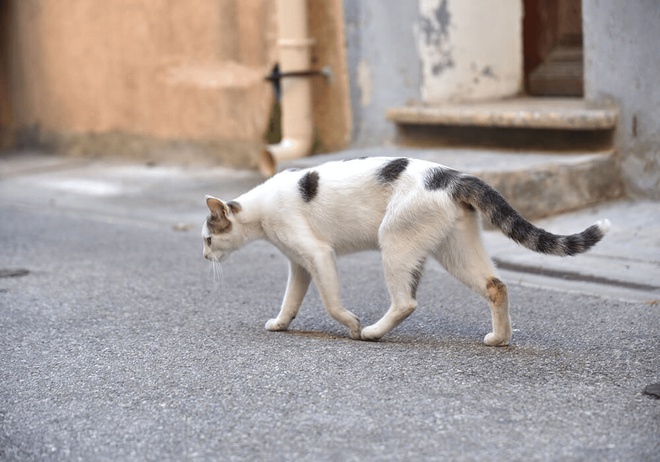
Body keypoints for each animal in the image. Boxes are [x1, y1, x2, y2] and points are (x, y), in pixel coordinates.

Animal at [201, 157, 608, 344]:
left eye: (206, 239)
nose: (203, 257)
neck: (260, 211)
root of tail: (453, 176)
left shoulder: (317, 254)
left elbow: (331, 302)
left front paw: (352, 325)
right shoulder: (299, 264)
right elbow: (291, 300)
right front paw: (281, 323)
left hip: (394, 239)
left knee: (406, 301)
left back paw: (373, 332)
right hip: (456, 250)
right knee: (497, 285)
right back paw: (500, 339)